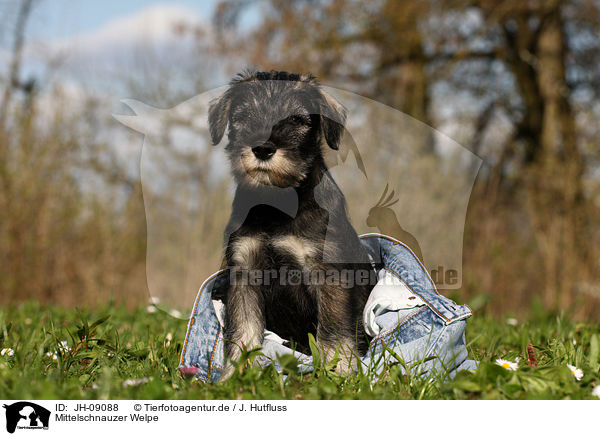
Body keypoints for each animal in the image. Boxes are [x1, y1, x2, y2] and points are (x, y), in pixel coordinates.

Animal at [209, 70, 372, 378]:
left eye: (296, 119)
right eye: (242, 116)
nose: (263, 148)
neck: (276, 207)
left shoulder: (328, 273)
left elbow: (333, 330)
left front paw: (339, 372)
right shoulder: (244, 271)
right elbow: (242, 329)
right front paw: (235, 375)